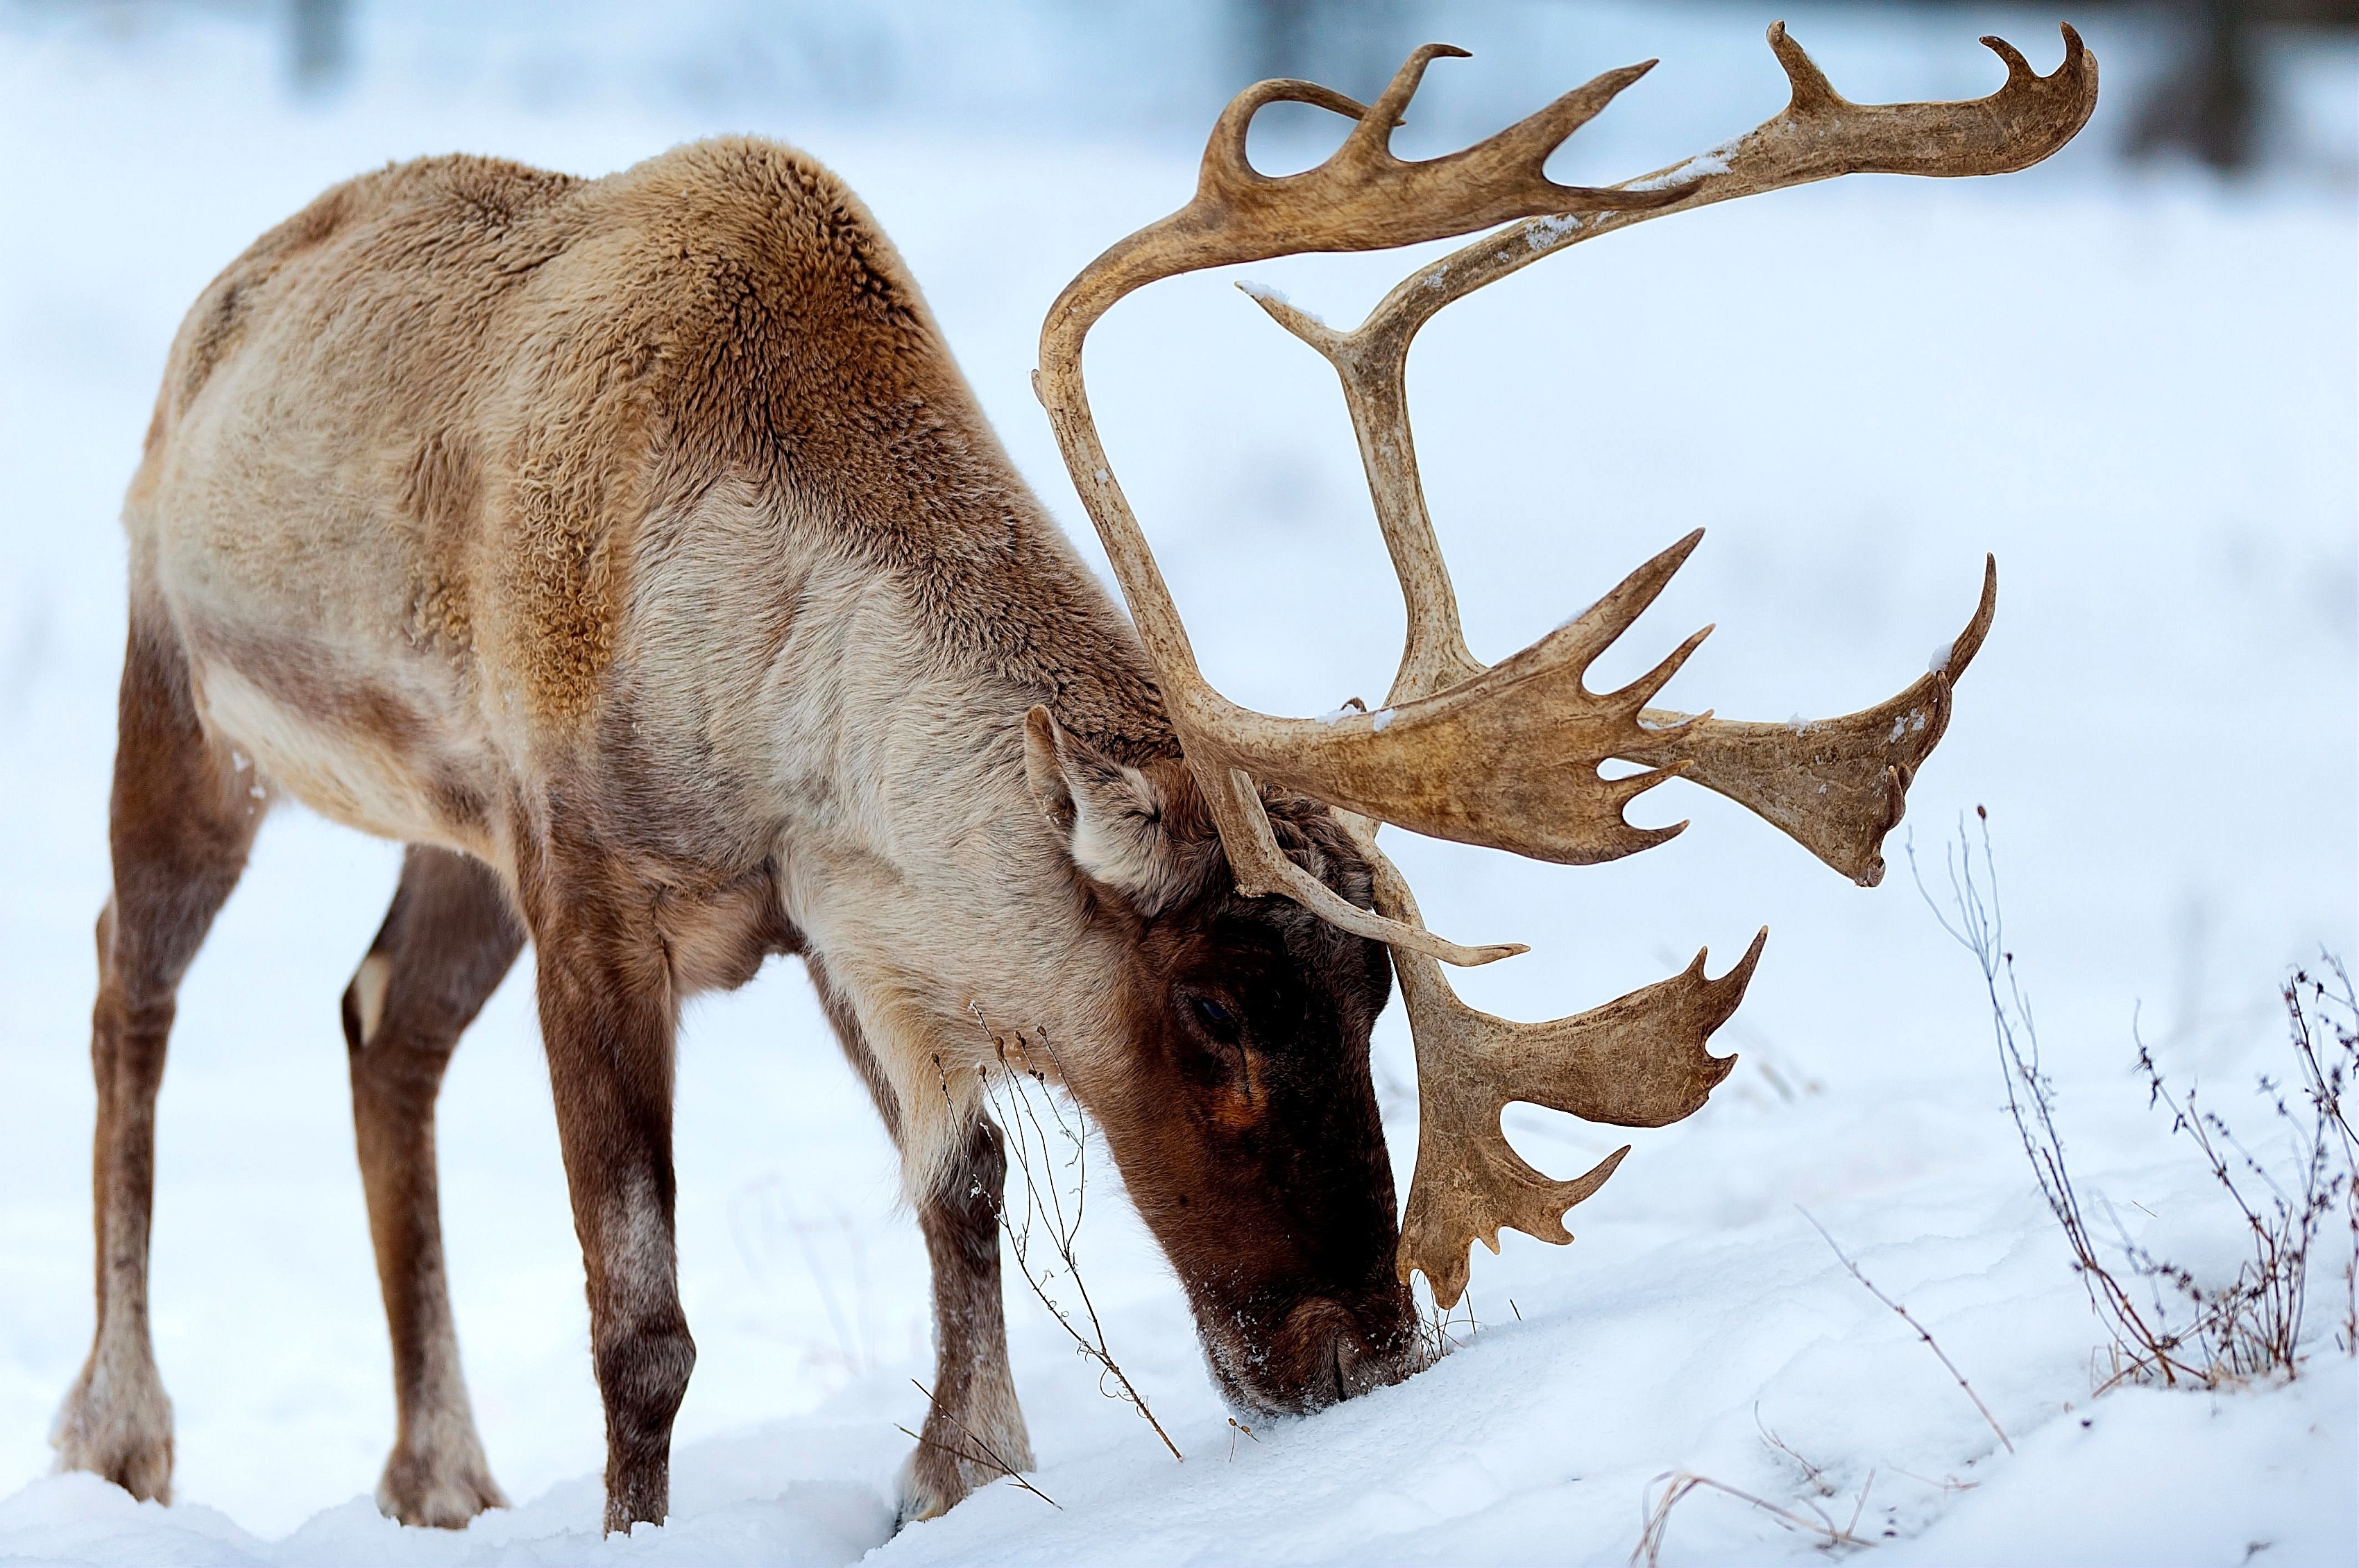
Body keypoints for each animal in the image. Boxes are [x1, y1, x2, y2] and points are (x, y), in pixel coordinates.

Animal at [50, 22, 2094, 1536]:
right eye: (1212, 1007)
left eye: (1372, 990)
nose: (1362, 1350)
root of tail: (240, 284)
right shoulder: (589, 882)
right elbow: (644, 1320)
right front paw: (651, 1516)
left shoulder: (840, 916)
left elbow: (960, 1189)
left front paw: (961, 1467)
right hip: (185, 693)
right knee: (127, 994)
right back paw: (122, 1432)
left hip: (445, 842)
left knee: (380, 1018)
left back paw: (440, 1473)